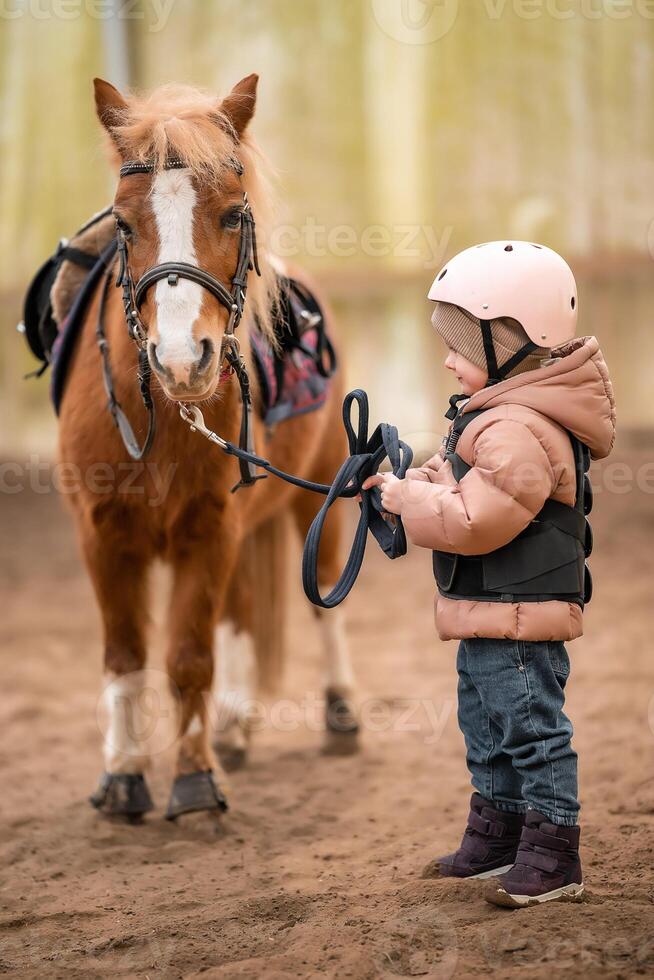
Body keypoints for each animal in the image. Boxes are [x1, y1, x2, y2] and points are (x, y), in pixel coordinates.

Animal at [59, 72, 358, 816]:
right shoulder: (102, 535)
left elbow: (189, 656)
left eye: (229, 216)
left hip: (318, 498)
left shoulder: (210, 529)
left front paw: (194, 778)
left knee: (323, 598)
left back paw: (340, 710)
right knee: (244, 613)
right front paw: (124, 774)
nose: (179, 359)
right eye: (124, 223)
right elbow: (127, 655)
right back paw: (235, 723)